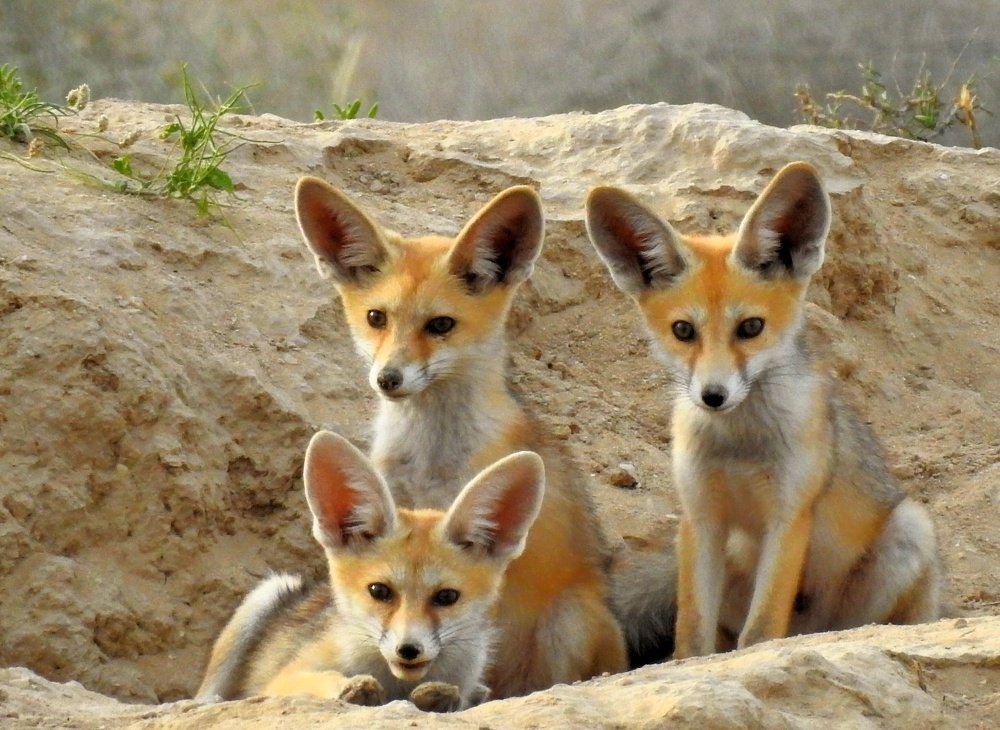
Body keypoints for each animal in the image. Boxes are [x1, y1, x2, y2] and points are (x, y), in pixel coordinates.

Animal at [196, 430, 544, 711]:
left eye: (446, 597)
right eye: (379, 591)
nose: (408, 650)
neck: (397, 685)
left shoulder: (462, 677)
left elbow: (456, 694)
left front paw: (445, 696)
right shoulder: (283, 679)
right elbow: (325, 681)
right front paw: (351, 688)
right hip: (262, 599)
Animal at [585, 161, 940, 658]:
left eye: (751, 327)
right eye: (683, 330)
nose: (713, 396)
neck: (741, 448)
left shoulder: (789, 516)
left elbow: (760, 632)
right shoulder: (701, 517)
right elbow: (692, 635)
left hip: (908, 532)